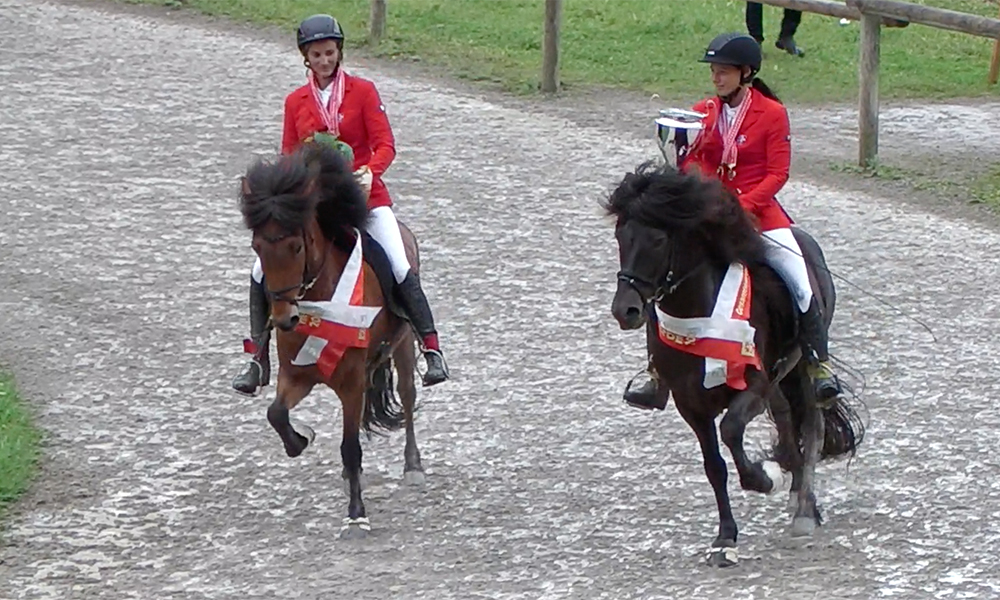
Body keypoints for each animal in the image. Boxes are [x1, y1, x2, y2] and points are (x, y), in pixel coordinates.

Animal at [238, 142, 426, 540]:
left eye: (296, 246)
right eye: (257, 246)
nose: (285, 320)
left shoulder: (351, 382)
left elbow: (351, 446)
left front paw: (356, 515)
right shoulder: (295, 375)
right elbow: (276, 414)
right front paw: (301, 439)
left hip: (402, 344)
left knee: (407, 394)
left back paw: (413, 466)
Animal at [604, 163, 864, 568]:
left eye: (659, 240)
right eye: (621, 236)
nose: (625, 311)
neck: (699, 313)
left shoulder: (752, 385)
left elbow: (730, 430)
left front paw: (765, 478)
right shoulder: (689, 403)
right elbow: (715, 466)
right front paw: (725, 538)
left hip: (801, 367)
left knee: (812, 424)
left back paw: (805, 510)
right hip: (779, 379)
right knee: (787, 419)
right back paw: (794, 485)